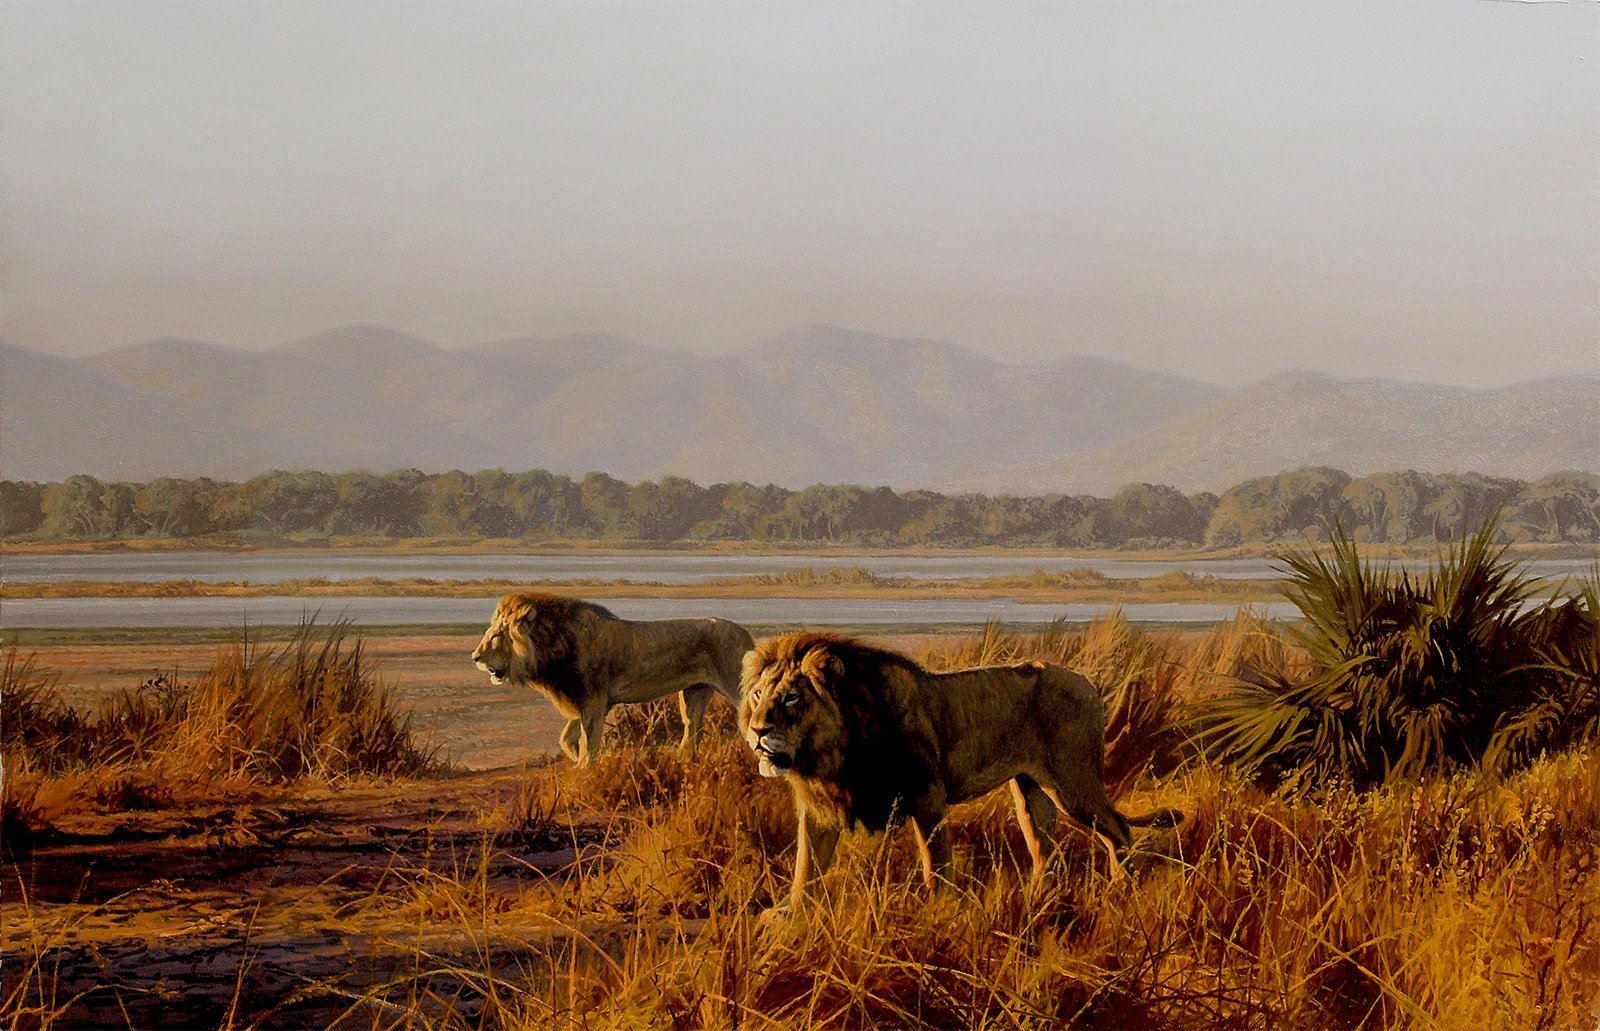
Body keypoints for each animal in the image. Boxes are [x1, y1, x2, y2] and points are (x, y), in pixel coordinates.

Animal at [473, 593, 754, 767]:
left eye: (496, 635)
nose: (475, 657)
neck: (554, 645)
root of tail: (746, 634)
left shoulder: (593, 701)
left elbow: (589, 740)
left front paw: (584, 770)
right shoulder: (584, 702)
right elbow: (566, 738)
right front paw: (575, 759)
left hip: (736, 688)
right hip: (694, 693)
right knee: (693, 729)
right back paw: (682, 759)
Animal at [739, 632, 1180, 919]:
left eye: (792, 698)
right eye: (758, 695)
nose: (758, 731)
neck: (831, 752)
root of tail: (1088, 683)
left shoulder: (926, 793)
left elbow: (936, 860)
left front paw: (936, 912)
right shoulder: (820, 806)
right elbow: (806, 864)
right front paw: (789, 915)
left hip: (1072, 784)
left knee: (1118, 827)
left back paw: (1122, 890)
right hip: (1031, 792)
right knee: (1044, 848)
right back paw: (1038, 899)